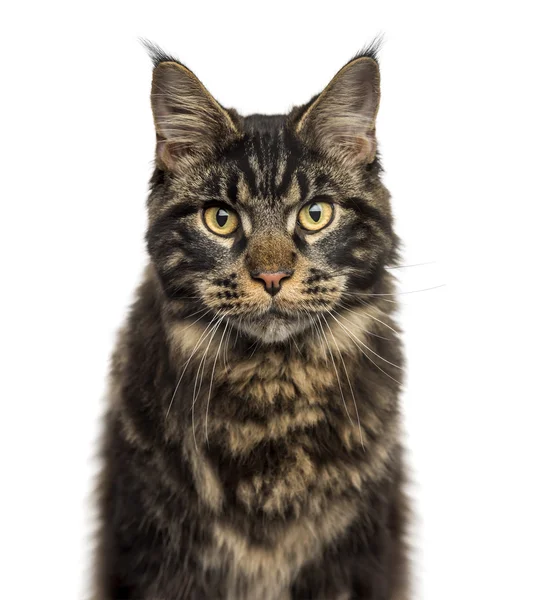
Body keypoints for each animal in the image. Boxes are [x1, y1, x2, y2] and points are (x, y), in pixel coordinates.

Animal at [91, 43, 410, 600]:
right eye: (221, 219)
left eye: (315, 214)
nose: (272, 275)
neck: (272, 387)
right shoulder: (151, 549)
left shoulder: (356, 556)